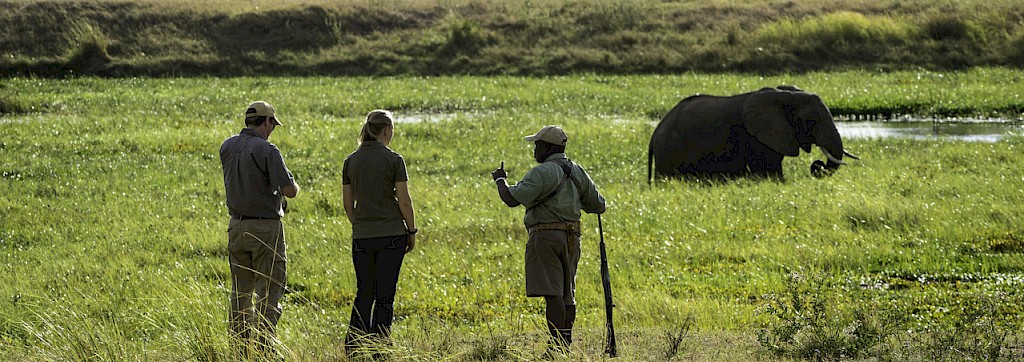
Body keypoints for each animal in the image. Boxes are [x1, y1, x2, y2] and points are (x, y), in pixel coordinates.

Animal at [647, 86, 856, 182]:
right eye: (810, 121)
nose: (817, 165)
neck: (784, 95)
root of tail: (654, 134)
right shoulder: (756, 138)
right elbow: (769, 171)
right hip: (670, 152)